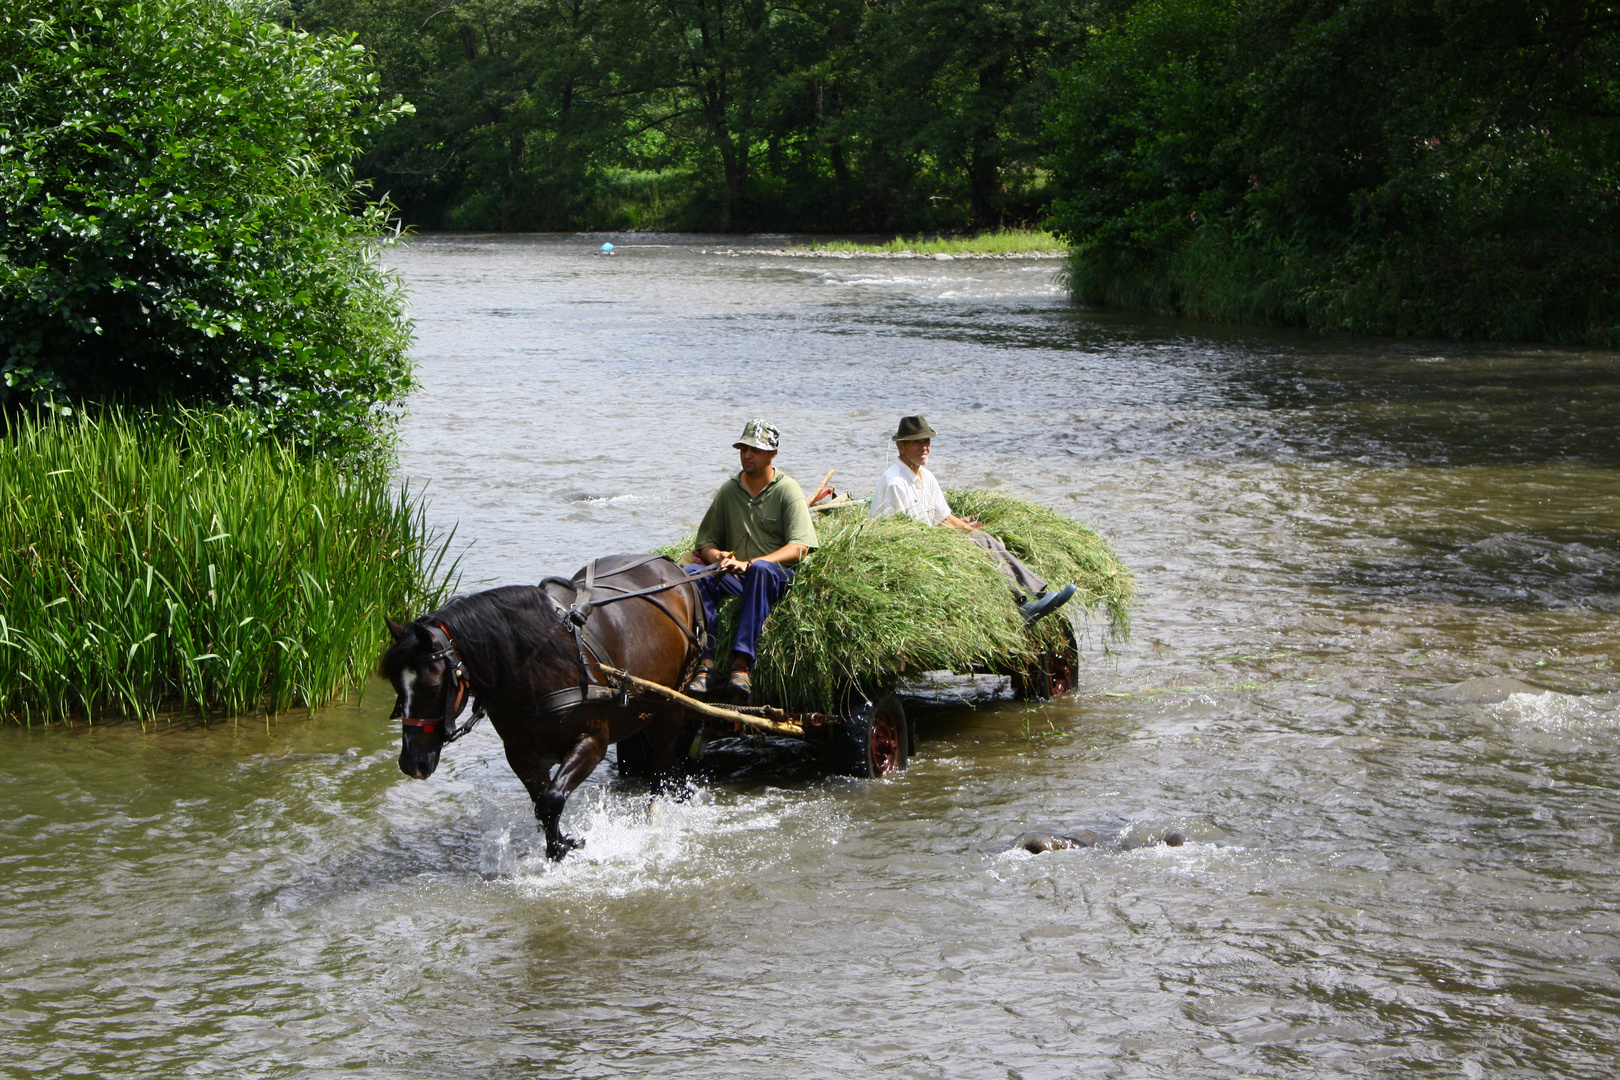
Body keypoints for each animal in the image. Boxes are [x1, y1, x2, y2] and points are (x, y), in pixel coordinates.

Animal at [382, 557, 712, 861]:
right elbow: (542, 805)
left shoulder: (592, 741)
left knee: (661, 764)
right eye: (397, 686)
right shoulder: (522, 755)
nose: (411, 763)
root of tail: (670, 565)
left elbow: (552, 799)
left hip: (672, 704)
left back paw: (655, 813)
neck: (538, 667)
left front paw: (565, 845)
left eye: (431, 686)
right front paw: (558, 845)